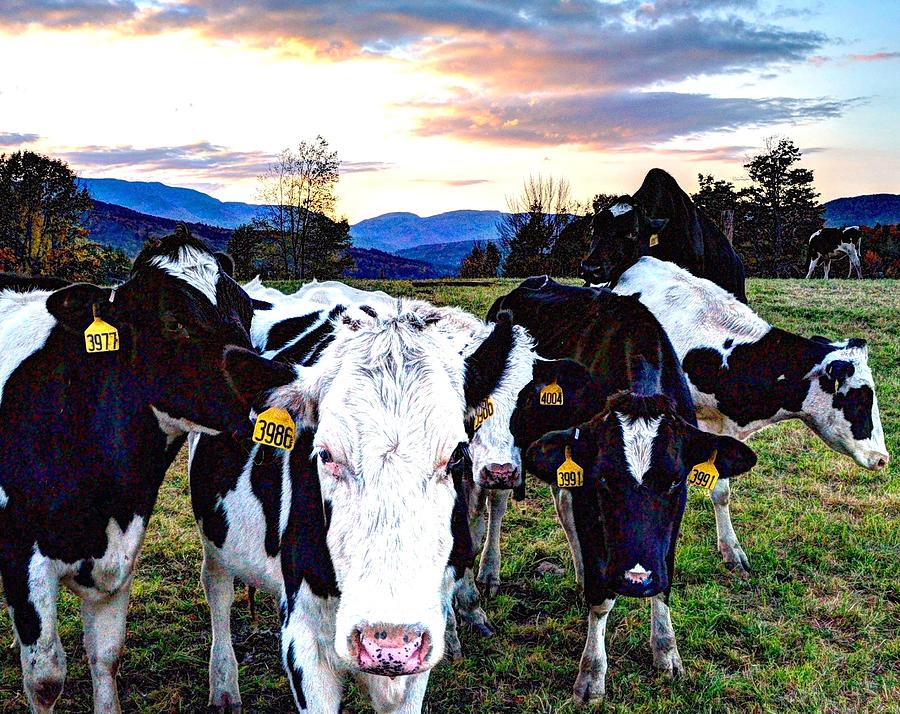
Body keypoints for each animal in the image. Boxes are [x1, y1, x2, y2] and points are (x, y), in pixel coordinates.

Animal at [0, 229, 260, 712]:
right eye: (174, 321)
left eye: (248, 311)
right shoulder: (21, 553)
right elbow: (44, 677)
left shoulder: (119, 551)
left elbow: (106, 656)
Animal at [187, 292, 520, 708]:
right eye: (324, 453)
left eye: (458, 453)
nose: (389, 643)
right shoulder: (303, 641)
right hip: (213, 533)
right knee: (217, 588)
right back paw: (224, 687)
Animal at [488, 276, 756, 700]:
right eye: (604, 480)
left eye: (675, 480)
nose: (636, 580)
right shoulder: (588, 490)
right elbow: (601, 601)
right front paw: (592, 672)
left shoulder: (671, 513)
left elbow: (665, 574)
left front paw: (666, 650)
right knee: (498, 501)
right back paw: (489, 572)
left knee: (562, 507)